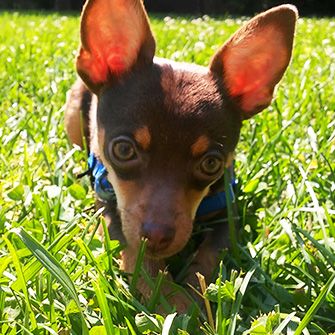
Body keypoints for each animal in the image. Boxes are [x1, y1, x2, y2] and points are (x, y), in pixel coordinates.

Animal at [65, 0, 300, 310]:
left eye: (211, 164)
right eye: (123, 150)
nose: (157, 236)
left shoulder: (227, 219)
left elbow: (209, 257)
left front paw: (190, 299)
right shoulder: (111, 210)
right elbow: (138, 255)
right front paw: (168, 298)